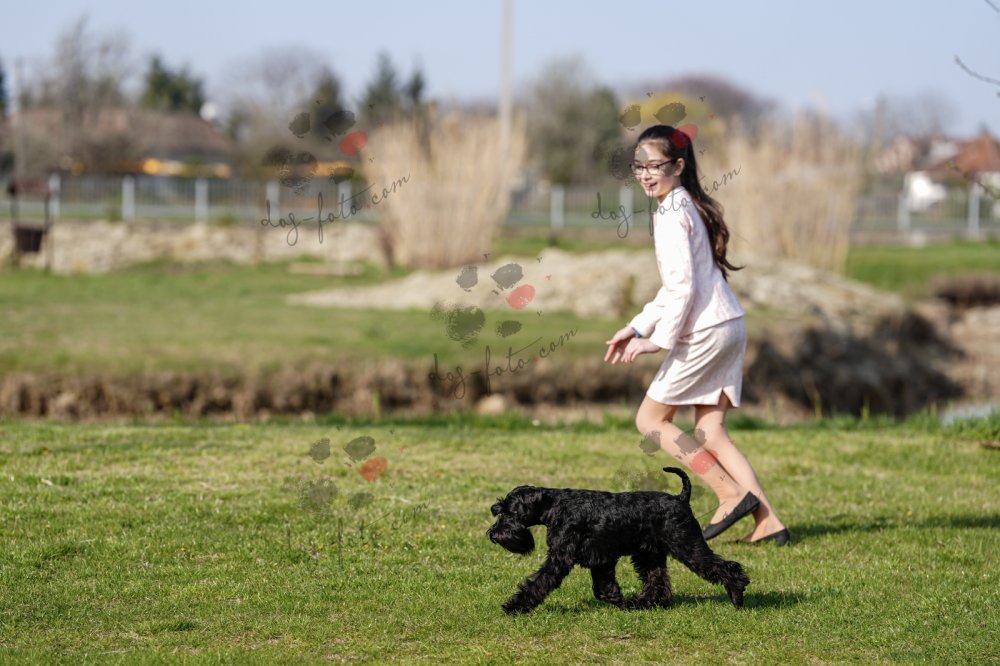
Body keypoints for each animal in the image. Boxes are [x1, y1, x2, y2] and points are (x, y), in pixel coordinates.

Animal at [488, 467, 749, 614]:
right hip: (649, 554)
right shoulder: (600, 560)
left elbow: (539, 582)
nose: (493, 534)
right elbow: (602, 587)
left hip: (687, 545)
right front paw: (617, 599)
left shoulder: (560, 559)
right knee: (657, 581)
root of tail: (681, 498)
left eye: (510, 512)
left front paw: (514, 606)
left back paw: (737, 597)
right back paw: (642, 603)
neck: (554, 507)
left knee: (725, 567)